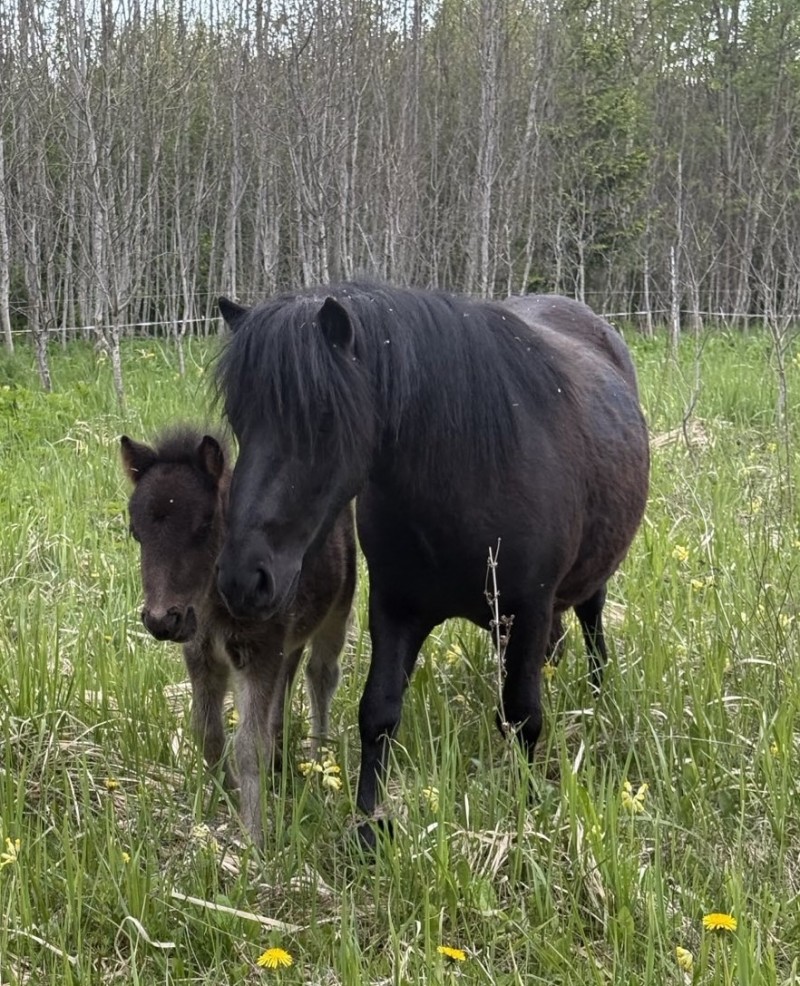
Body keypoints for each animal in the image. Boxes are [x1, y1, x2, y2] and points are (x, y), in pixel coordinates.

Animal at [120, 426, 356, 844]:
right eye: (136, 531)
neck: (214, 606)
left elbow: (248, 746)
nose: (163, 620)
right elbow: (208, 733)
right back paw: (282, 759)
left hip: (336, 613)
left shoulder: (257, 654)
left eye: (204, 524)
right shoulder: (202, 656)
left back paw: (317, 758)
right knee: (288, 681)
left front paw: (255, 838)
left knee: (321, 675)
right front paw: (224, 795)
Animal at [212, 282, 649, 844]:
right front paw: (368, 823)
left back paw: (597, 698)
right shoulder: (396, 608)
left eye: (323, 419)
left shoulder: (529, 607)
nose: (244, 579)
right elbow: (378, 712)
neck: (466, 475)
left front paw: (526, 813)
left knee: (592, 627)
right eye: (240, 420)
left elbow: (523, 716)